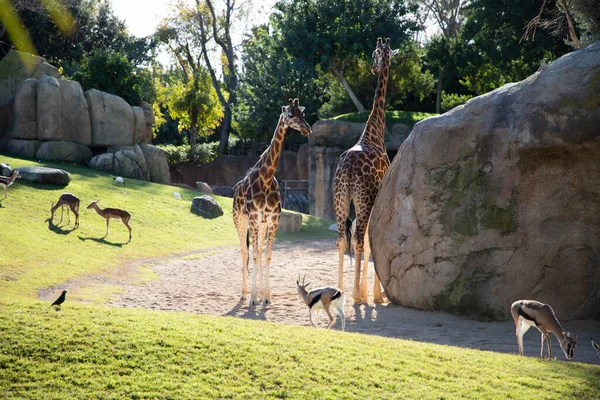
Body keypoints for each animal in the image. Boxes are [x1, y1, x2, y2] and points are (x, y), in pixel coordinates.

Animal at [232, 98, 312, 308]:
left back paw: (259, 295)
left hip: (261, 224)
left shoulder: (273, 219)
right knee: (245, 252)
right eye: (290, 115)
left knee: (258, 251)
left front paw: (266, 297)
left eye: (302, 114)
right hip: (240, 219)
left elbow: (266, 255)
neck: (266, 179)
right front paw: (252, 299)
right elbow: (253, 254)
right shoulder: (253, 217)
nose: (307, 129)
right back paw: (244, 295)